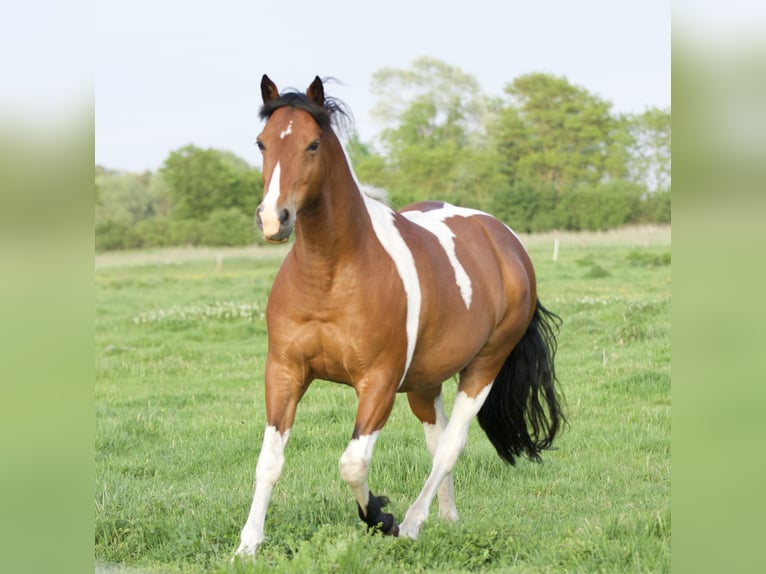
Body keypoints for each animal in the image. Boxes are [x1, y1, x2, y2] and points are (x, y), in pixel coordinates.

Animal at [235, 75, 564, 556]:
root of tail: (505, 241)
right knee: (437, 440)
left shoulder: (379, 382)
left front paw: (380, 516)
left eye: (313, 144)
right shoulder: (284, 372)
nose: (274, 219)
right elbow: (269, 461)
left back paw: (411, 523)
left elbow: (353, 463)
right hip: (425, 384)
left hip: (483, 366)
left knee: (450, 446)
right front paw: (248, 545)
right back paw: (446, 519)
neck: (330, 275)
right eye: (262, 143)